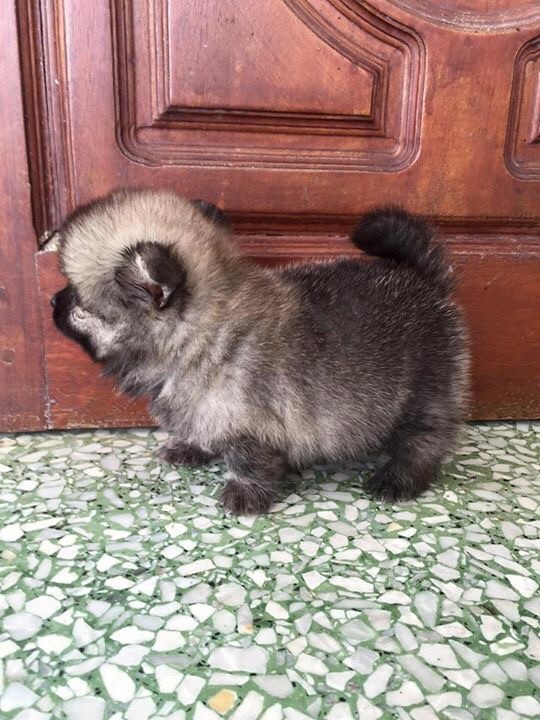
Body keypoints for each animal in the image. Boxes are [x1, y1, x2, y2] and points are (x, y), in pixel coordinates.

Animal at [51, 189, 469, 514]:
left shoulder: (250, 428)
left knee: (425, 440)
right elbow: (201, 429)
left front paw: (244, 494)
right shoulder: (209, 411)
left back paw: (398, 479)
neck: (204, 333)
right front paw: (190, 449)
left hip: (425, 392)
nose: (53, 300)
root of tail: (422, 278)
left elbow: (248, 463)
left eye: (77, 299)